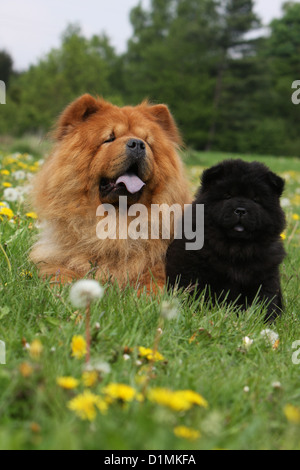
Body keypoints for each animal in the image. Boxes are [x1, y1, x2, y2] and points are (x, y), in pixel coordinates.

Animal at [166, 160, 286, 322]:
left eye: (255, 199)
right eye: (228, 196)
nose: (241, 210)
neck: (236, 249)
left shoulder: (267, 275)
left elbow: (265, 299)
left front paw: (265, 320)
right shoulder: (192, 269)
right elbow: (194, 291)